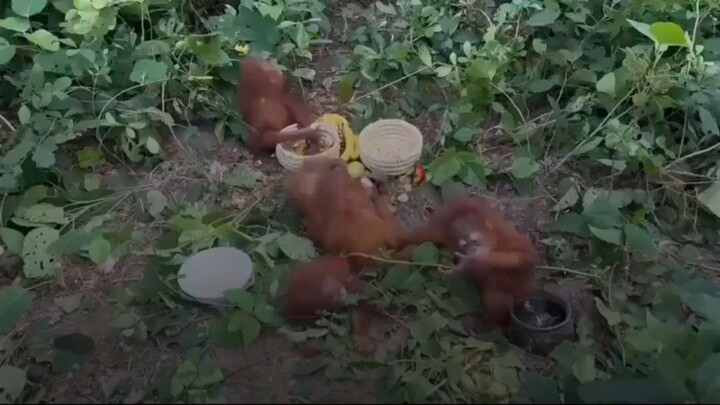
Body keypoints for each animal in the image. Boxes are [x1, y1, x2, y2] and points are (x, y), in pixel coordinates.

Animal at [393, 196, 540, 329]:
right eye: (464, 246)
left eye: (474, 241)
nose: (472, 250)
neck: (496, 245)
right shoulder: (443, 230)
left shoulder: (513, 240)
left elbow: (523, 257)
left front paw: (474, 260)